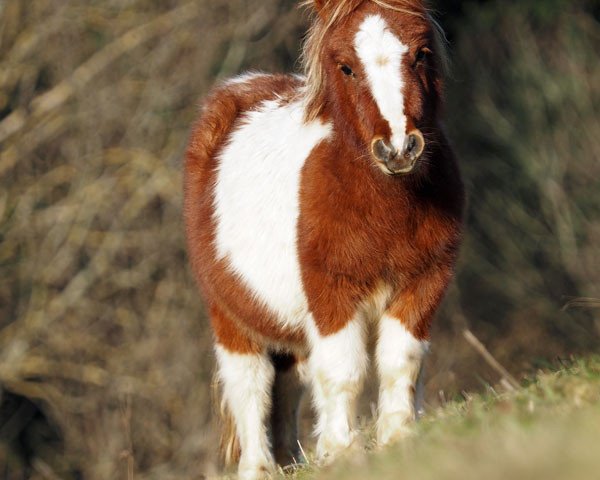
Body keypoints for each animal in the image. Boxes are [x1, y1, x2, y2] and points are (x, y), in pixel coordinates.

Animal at [183, 1, 464, 478]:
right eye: (346, 67)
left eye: (421, 53)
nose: (398, 148)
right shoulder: (331, 293)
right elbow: (342, 370)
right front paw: (342, 451)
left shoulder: (424, 282)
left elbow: (401, 359)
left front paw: (399, 437)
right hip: (231, 318)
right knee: (250, 387)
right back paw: (260, 467)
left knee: (287, 386)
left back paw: (291, 460)